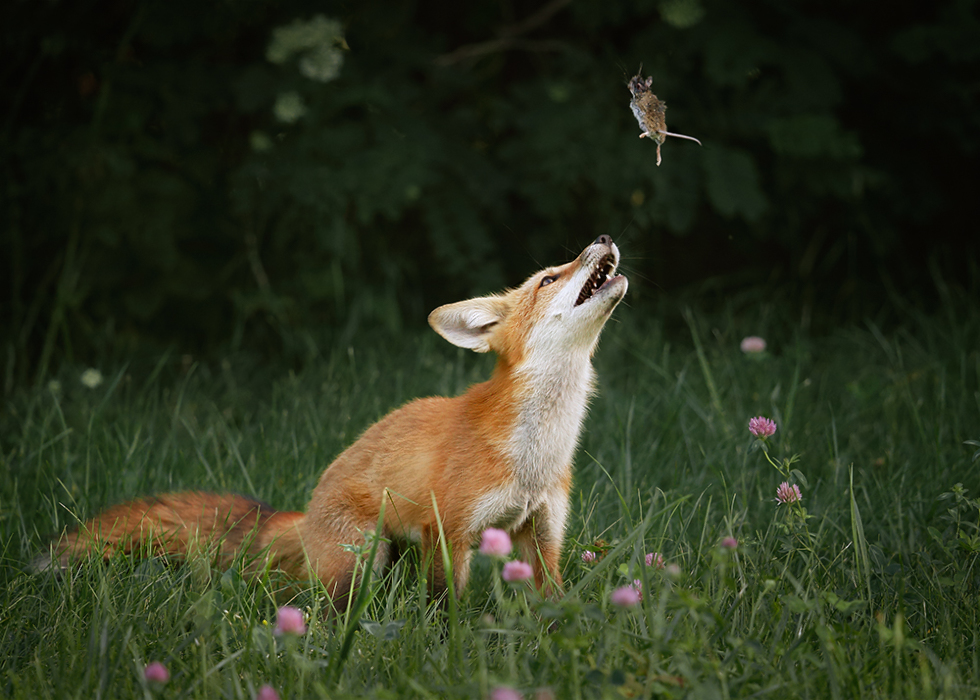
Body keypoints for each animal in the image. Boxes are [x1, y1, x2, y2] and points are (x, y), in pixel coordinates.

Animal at [42, 234, 628, 600]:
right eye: (548, 278)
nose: (603, 236)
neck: (535, 453)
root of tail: (304, 511)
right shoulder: (449, 532)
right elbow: (446, 609)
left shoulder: (541, 536)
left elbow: (550, 607)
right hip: (365, 553)